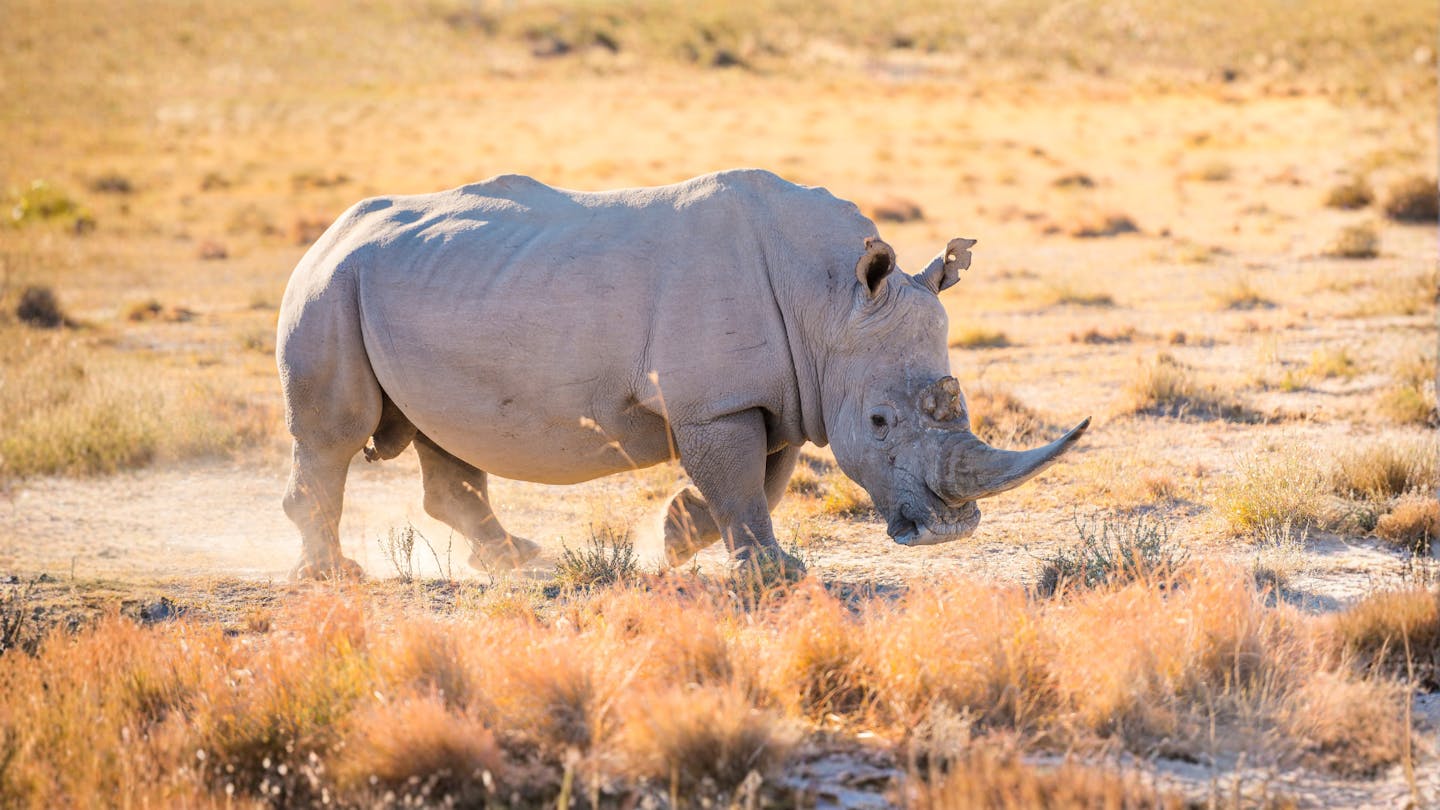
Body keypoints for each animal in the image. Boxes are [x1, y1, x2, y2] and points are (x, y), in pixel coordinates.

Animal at [276, 169, 1088, 578]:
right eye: (880, 423)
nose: (949, 533)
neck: (830, 301)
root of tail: (329, 232)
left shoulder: (775, 394)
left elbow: (760, 480)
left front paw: (674, 540)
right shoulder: (717, 402)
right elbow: (742, 483)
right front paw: (777, 576)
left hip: (407, 288)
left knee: (444, 437)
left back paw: (518, 561)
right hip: (330, 286)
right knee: (334, 436)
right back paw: (333, 578)